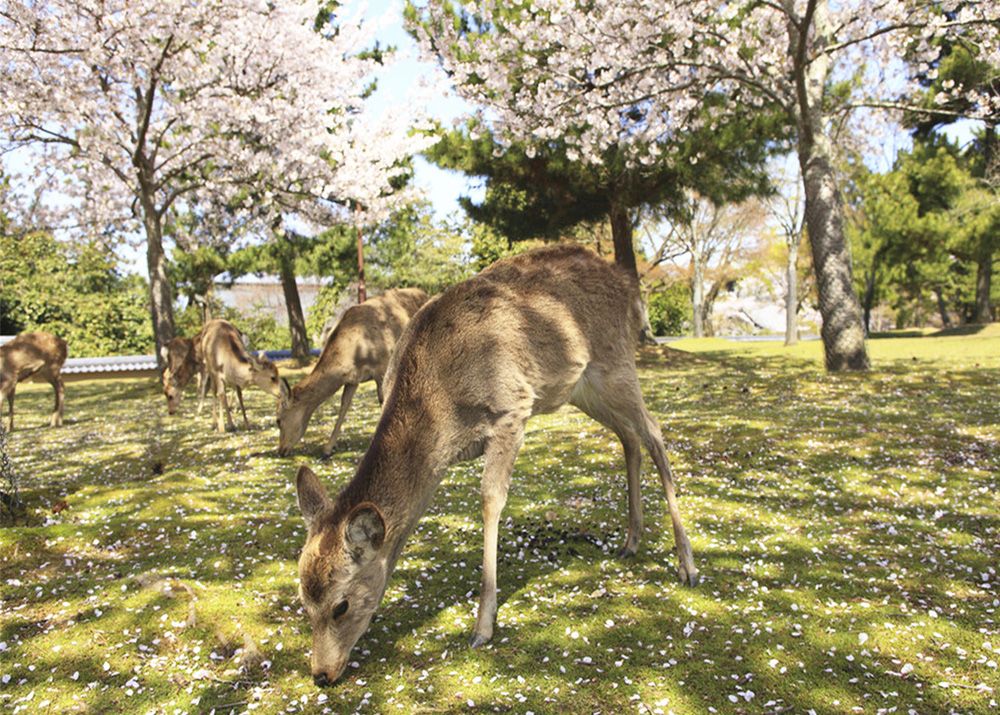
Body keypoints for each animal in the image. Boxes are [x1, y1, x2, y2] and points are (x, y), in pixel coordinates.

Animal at [276, 288, 428, 456]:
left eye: (278, 420)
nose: (281, 450)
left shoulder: (382, 368)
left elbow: (383, 401)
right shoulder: (353, 380)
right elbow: (344, 406)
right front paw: (328, 448)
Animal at [292, 246, 700, 688]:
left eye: (341, 605)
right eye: (304, 601)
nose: (321, 674)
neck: (443, 410)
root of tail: (629, 288)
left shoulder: (511, 410)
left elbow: (490, 500)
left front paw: (482, 626)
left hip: (616, 362)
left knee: (654, 430)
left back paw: (687, 565)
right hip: (581, 388)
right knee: (629, 437)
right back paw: (631, 540)